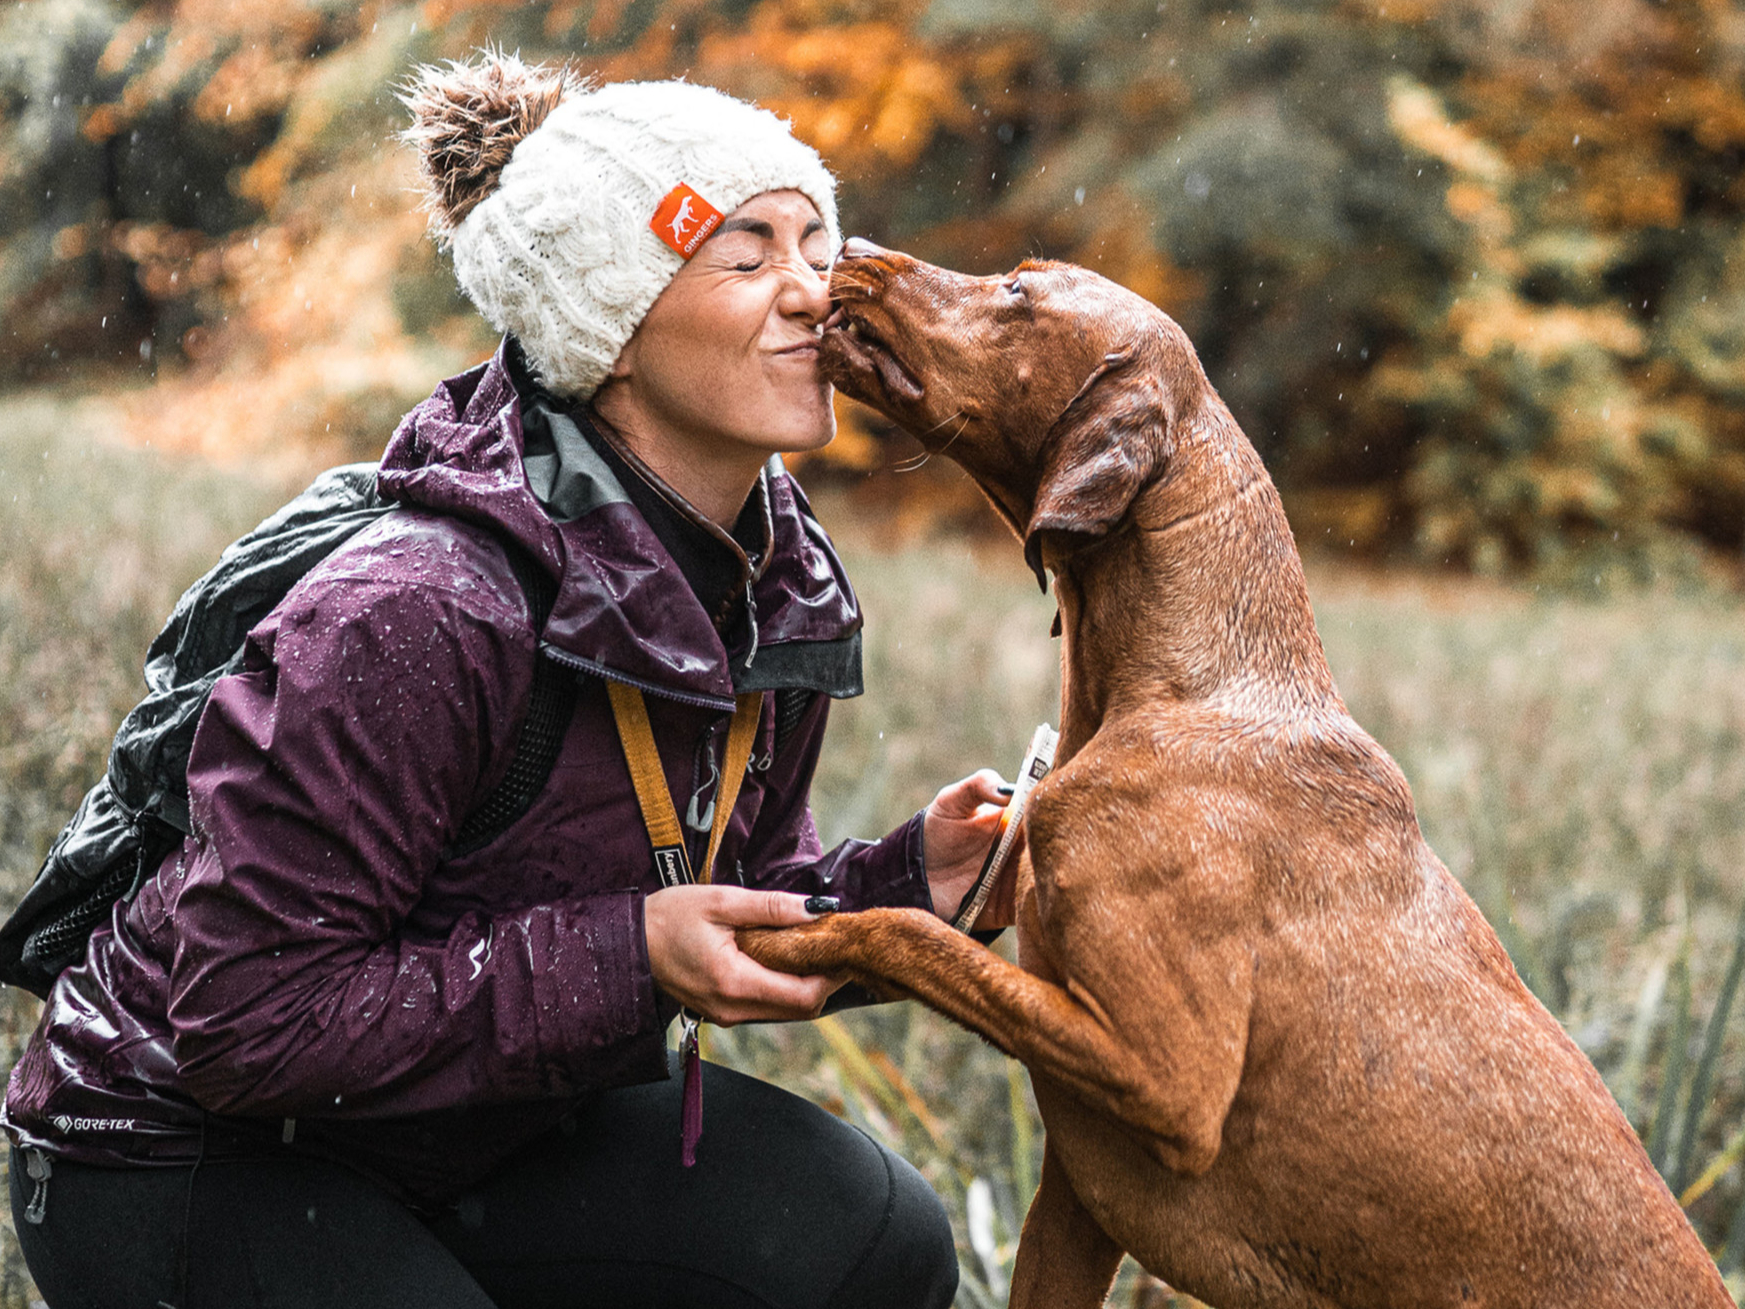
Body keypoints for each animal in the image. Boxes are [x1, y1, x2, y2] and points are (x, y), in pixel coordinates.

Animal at [739, 240, 1731, 1305]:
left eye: (1016, 290)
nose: (850, 250)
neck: (1184, 685)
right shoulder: (1077, 1197)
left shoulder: (1168, 1083)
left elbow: (910, 932)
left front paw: (789, 937)